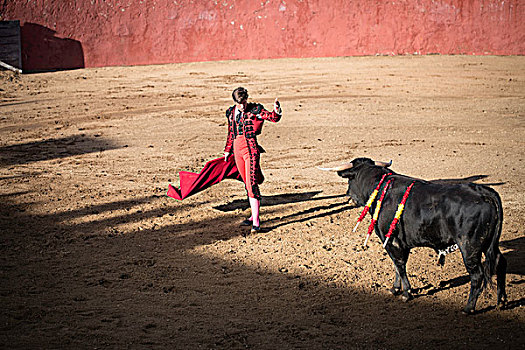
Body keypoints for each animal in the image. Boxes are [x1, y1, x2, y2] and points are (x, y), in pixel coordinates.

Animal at [332, 157, 508, 314]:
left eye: (349, 181)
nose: (348, 196)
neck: (381, 188)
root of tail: (483, 192)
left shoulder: (391, 242)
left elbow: (400, 265)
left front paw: (406, 293)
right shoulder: (397, 243)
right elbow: (396, 266)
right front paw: (395, 289)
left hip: (470, 247)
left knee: (477, 275)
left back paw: (469, 308)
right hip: (488, 244)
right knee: (500, 262)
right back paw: (501, 301)